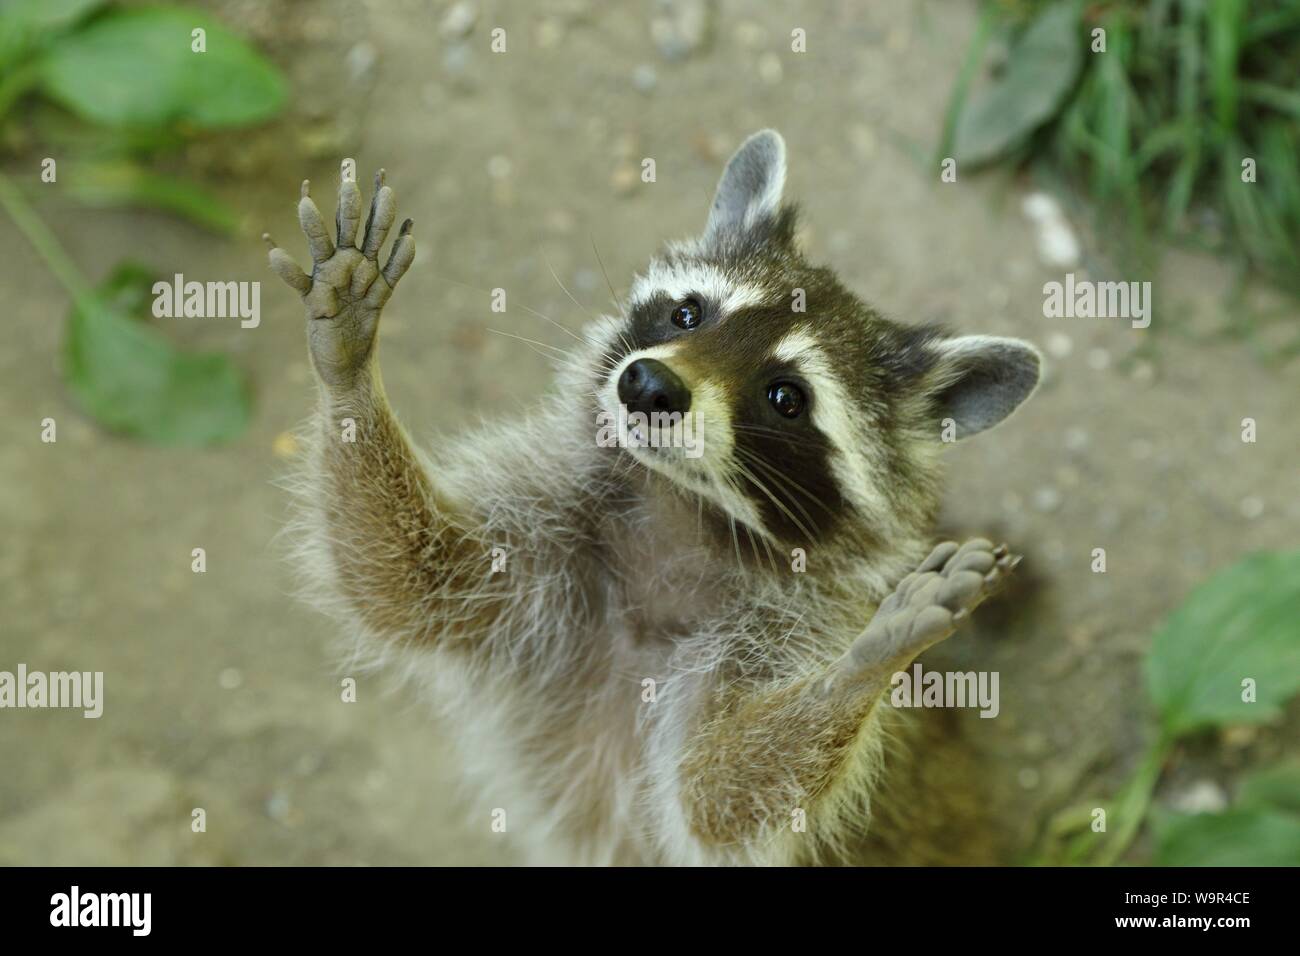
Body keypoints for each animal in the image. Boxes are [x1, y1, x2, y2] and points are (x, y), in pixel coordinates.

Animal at [266, 128, 1045, 868]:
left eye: (786, 397)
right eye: (688, 314)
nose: (647, 386)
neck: (681, 517)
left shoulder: (784, 629)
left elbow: (715, 795)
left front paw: (863, 665)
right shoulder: (553, 542)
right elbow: (408, 582)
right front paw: (349, 367)